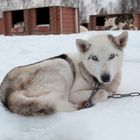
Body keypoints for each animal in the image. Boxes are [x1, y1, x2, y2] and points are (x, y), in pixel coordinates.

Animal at [0, 31, 128, 116]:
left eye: (112, 56)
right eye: (94, 58)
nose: (105, 77)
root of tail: (7, 92)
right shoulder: (74, 94)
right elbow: (103, 93)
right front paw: (102, 94)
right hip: (63, 65)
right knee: (61, 102)